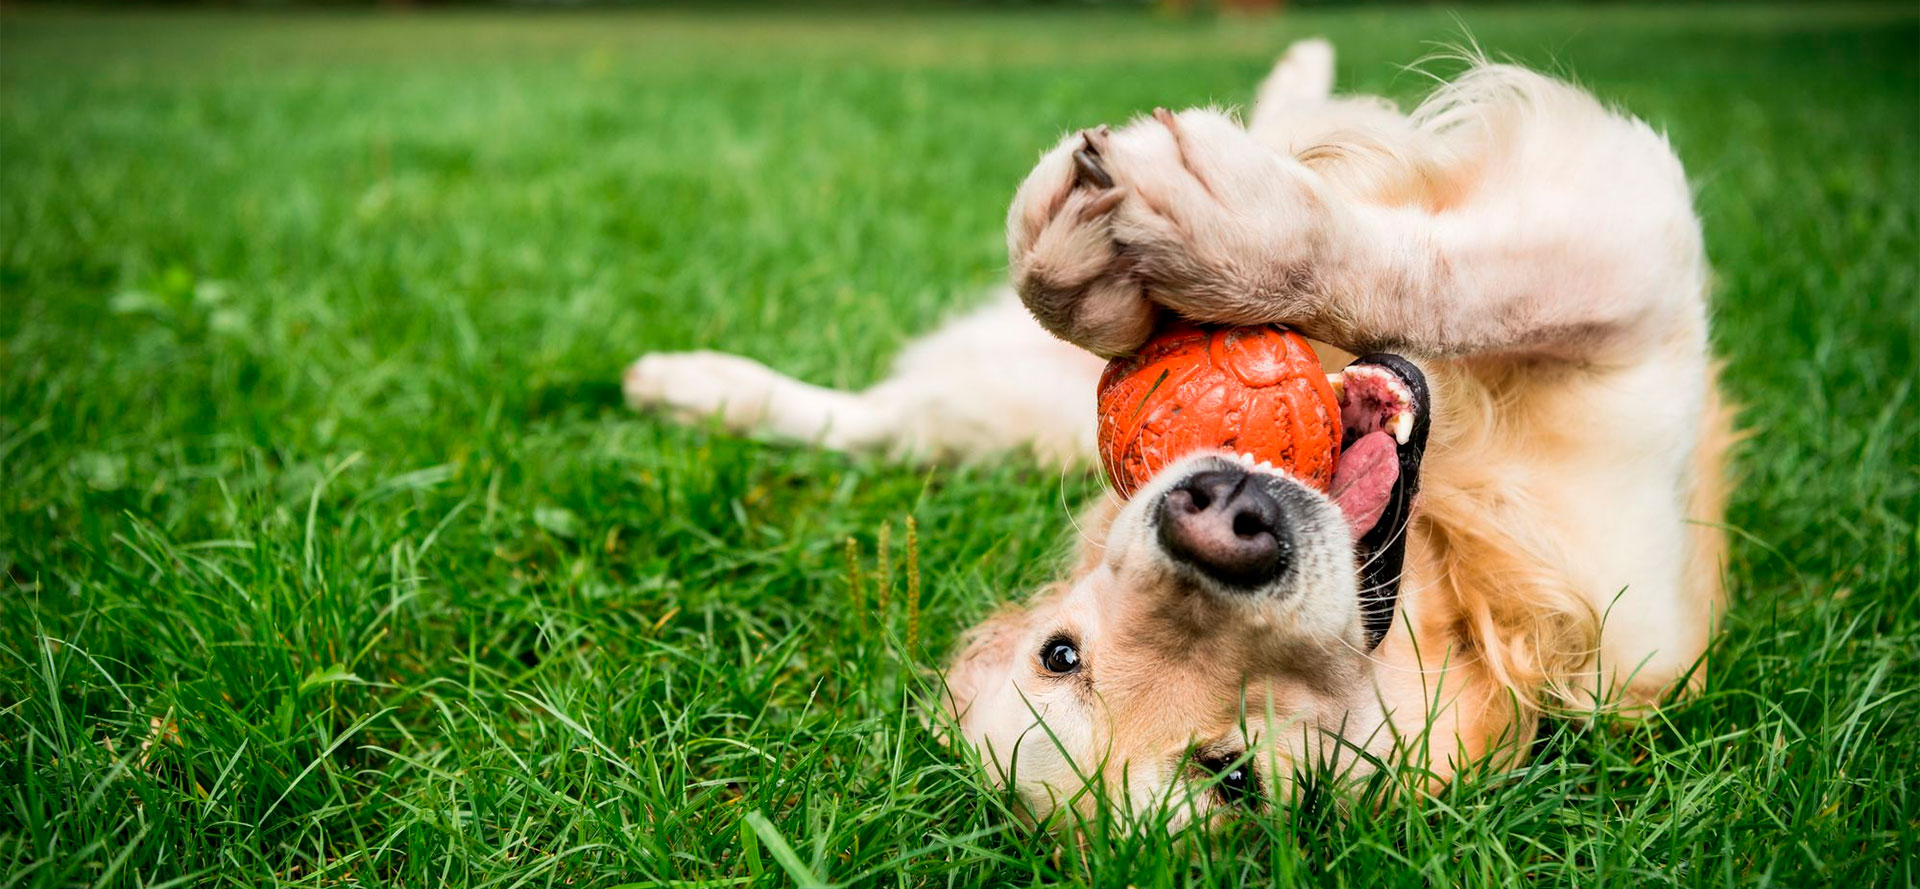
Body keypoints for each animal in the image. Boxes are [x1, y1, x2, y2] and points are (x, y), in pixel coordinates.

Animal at [622, 41, 1735, 833]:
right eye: (1064, 654)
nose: (1224, 519)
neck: (1452, 570)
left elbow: (1447, 272)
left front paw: (1205, 238)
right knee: (887, 421)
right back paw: (693, 389)